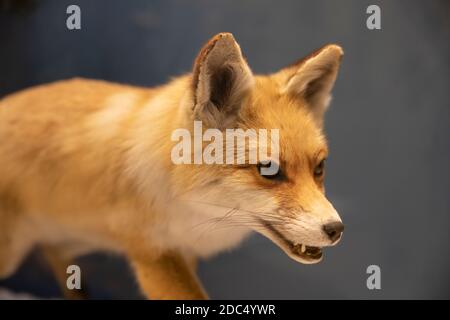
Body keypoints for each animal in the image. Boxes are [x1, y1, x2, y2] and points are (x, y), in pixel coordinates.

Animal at [0, 33, 344, 300]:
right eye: (269, 171)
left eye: (319, 168)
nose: (336, 229)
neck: (188, 207)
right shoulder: (153, 254)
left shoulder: (184, 252)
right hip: (13, 251)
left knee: (52, 253)